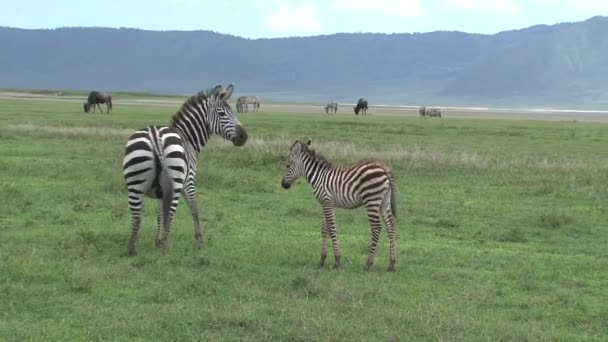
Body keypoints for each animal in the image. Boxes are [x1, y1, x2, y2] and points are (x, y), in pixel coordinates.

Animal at [121, 84, 247, 255]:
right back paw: (165, 249)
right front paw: (199, 240)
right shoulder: (189, 181)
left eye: (233, 112)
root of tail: (155, 136)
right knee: (171, 214)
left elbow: (160, 213)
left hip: (135, 183)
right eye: (222, 114)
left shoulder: (161, 191)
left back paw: (132, 249)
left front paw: (158, 240)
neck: (188, 139)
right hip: (175, 183)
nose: (244, 137)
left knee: (136, 216)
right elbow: (194, 208)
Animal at [282, 140, 400, 272]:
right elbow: (324, 229)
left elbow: (332, 228)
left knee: (376, 228)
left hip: (371, 200)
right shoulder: (326, 204)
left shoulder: (327, 202)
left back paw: (368, 264)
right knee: (391, 226)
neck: (318, 176)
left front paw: (337, 261)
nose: (283, 185)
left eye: (287, 165)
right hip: (384, 202)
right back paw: (391, 264)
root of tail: (384, 169)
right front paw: (322, 259)